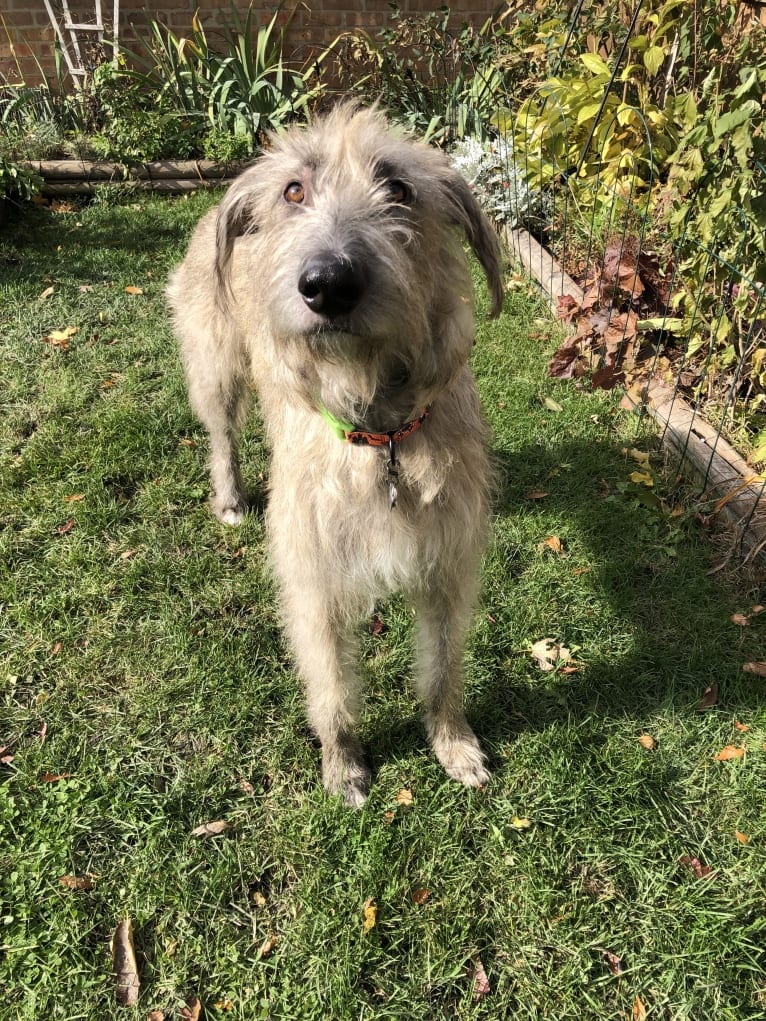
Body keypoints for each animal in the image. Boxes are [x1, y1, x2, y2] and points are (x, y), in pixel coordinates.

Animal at [167, 103, 504, 804]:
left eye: (398, 188)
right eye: (294, 191)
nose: (327, 283)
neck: (380, 436)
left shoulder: (448, 562)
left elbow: (443, 666)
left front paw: (453, 743)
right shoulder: (312, 575)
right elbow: (332, 685)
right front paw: (343, 763)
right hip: (215, 364)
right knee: (222, 430)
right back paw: (229, 496)